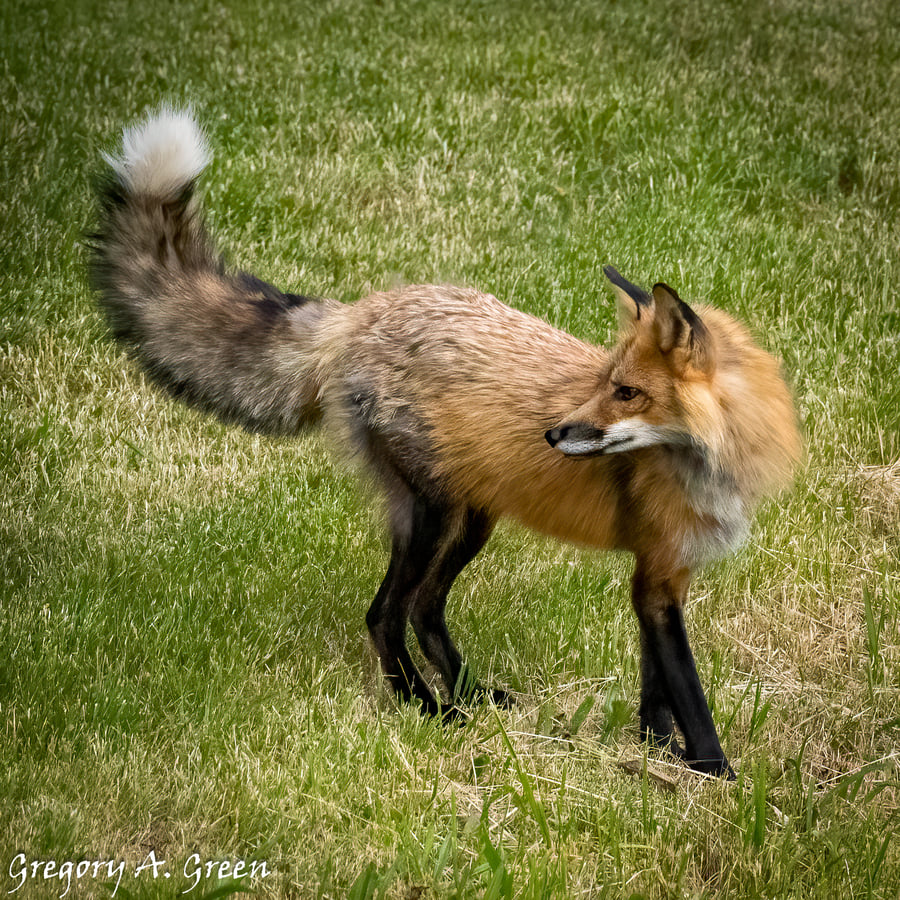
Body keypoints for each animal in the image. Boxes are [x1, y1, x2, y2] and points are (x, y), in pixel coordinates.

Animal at [90, 108, 801, 777]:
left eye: (625, 392)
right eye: (607, 384)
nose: (553, 433)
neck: (713, 466)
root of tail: (360, 312)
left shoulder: (659, 573)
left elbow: (657, 689)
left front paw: (656, 756)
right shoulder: (656, 578)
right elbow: (689, 693)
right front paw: (716, 775)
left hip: (468, 519)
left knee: (426, 611)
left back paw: (469, 695)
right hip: (434, 515)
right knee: (386, 614)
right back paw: (426, 707)